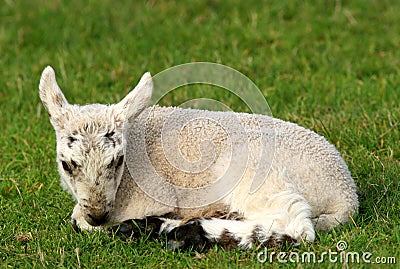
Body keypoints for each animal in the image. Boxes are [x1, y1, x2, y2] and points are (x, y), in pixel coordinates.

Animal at [39, 66, 358, 250]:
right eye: (67, 164)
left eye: (116, 160)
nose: (98, 214)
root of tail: (347, 196)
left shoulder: (151, 194)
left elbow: (79, 222)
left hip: (258, 176)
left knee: (297, 227)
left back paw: (184, 231)